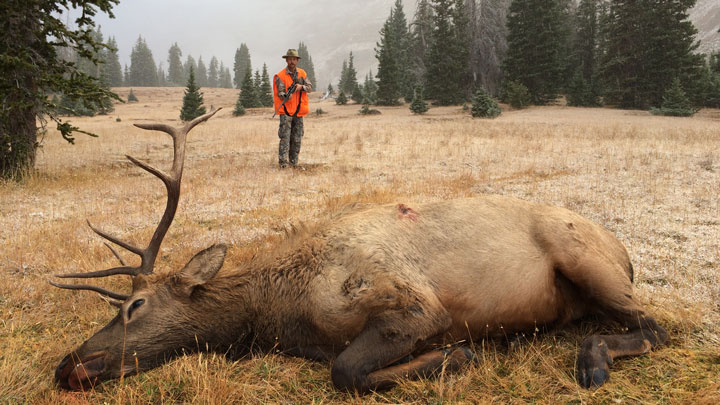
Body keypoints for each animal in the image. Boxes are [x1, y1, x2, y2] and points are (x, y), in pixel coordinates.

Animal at [53, 110, 668, 392]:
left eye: (134, 307)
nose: (68, 364)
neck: (282, 312)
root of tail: (624, 249)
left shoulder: (413, 302)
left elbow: (347, 370)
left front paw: (457, 356)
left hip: (585, 256)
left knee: (659, 327)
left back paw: (593, 360)